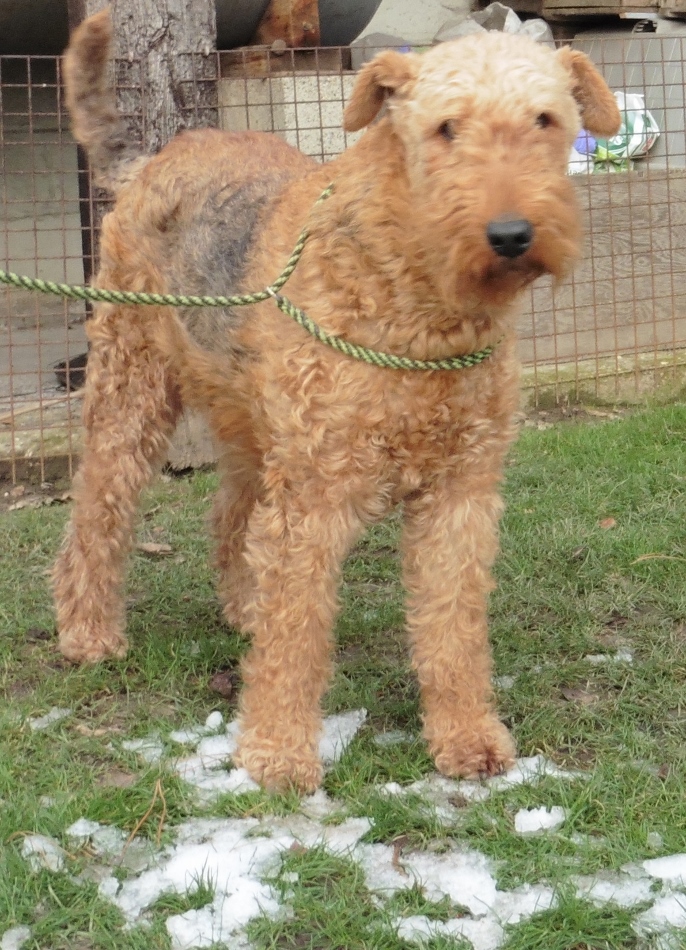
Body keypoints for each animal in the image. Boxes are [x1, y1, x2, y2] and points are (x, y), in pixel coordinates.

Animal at [53, 10, 620, 792]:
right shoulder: (316, 499)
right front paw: (278, 758)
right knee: (97, 511)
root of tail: (151, 162)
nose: (510, 236)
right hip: (132, 387)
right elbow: (297, 637)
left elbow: (452, 628)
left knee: (230, 518)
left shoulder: (461, 492)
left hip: (255, 420)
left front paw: (469, 741)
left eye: (546, 119)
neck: (417, 303)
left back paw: (244, 607)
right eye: (445, 127)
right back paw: (89, 634)